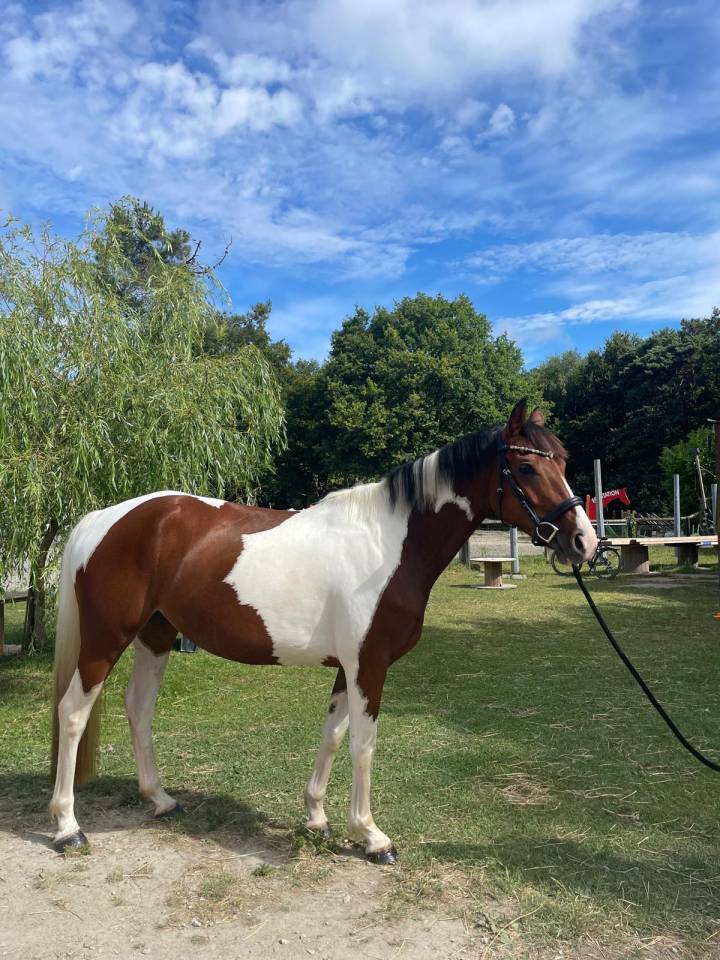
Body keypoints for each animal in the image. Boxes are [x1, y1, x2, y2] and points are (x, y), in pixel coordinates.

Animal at [49, 399, 597, 862]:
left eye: (564, 461)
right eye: (526, 467)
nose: (584, 541)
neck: (388, 546)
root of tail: (103, 518)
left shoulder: (348, 668)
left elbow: (332, 734)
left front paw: (317, 817)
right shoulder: (368, 666)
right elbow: (363, 745)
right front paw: (372, 837)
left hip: (156, 636)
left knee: (138, 707)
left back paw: (160, 799)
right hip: (105, 638)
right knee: (73, 712)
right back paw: (67, 827)